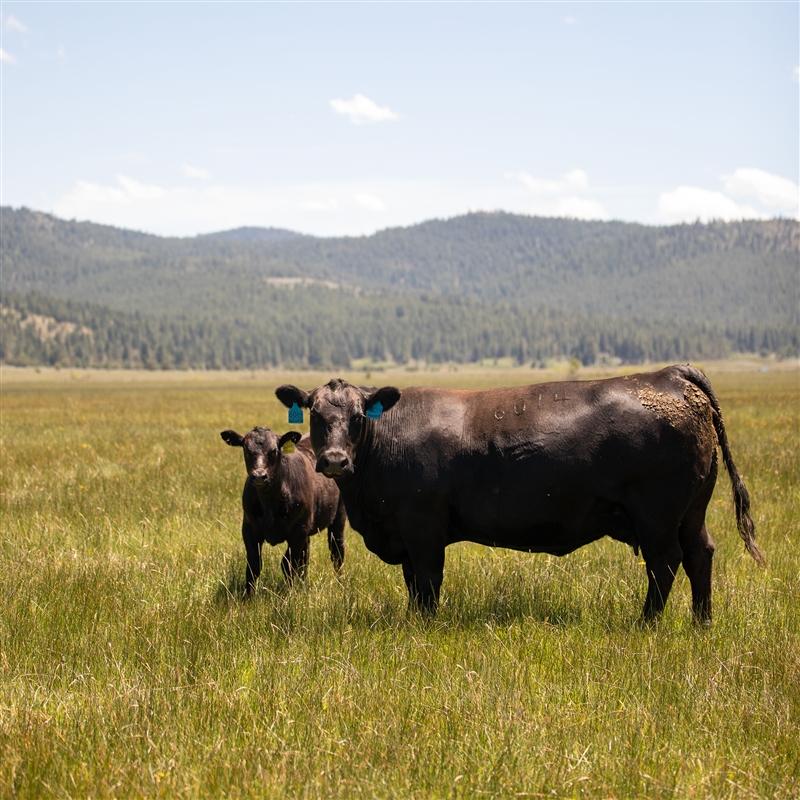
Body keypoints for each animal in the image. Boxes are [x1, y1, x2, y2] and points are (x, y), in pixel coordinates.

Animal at [220, 426, 346, 596]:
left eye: (274, 451)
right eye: (246, 449)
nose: (259, 476)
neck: (269, 503)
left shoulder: (298, 531)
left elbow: (288, 564)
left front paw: (289, 595)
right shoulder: (249, 529)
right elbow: (254, 565)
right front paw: (248, 596)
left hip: (338, 518)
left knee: (337, 553)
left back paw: (340, 584)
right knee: (305, 557)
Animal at [275, 365, 764, 623]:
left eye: (359, 416)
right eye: (315, 414)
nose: (334, 460)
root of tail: (671, 375)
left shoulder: (422, 528)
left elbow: (427, 581)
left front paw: (424, 624)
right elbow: (414, 583)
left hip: (657, 515)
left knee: (665, 563)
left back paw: (646, 623)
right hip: (690, 511)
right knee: (700, 553)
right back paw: (701, 621)